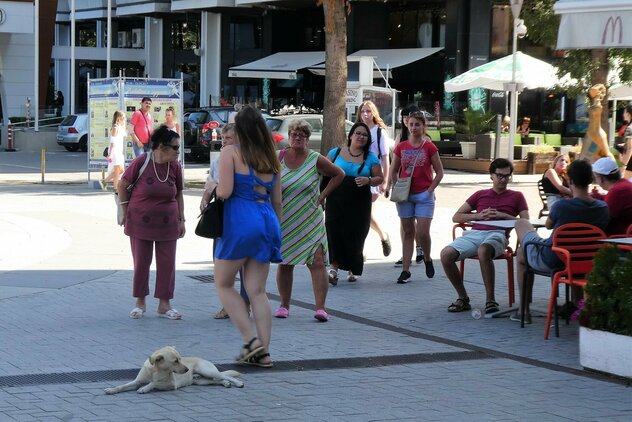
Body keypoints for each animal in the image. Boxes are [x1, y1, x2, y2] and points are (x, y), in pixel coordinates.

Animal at [103, 344, 244, 394]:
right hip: (201, 381)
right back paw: (225, 384)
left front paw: (144, 388)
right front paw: (112, 389)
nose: (187, 370)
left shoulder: (171, 384)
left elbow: (154, 383)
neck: (155, 370)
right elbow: (123, 385)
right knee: (217, 380)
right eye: (175, 361)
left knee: (226, 375)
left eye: (180, 359)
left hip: (207, 371)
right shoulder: (136, 381)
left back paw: (238, 383)